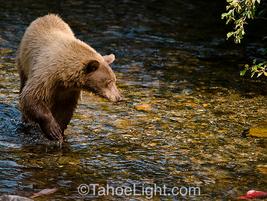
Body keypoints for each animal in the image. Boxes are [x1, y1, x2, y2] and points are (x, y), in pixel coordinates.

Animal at [15, 13, 122, 141]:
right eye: (109, 82)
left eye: (114, 80)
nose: (119, 97)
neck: (63, 75)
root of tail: (47, 15)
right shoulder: (45, 76)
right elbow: (31, 97)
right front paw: (53, 130)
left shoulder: (68, 90)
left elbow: (65, 109)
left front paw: (59, 131)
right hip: (23, 62)